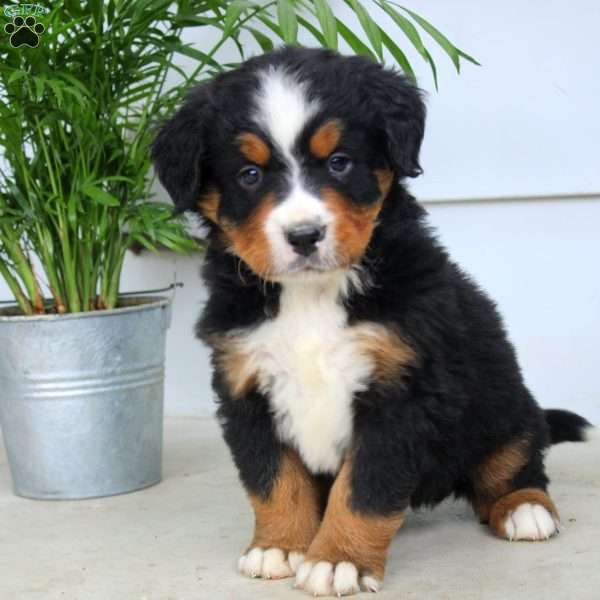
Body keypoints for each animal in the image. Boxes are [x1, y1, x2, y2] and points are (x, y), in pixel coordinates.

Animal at [151, 47, 592, 596]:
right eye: (249, 175)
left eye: (340, 163)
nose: (304, 235)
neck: (312, 295)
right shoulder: (247, 385)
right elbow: (274, 480)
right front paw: (280, 546)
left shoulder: (400, 391)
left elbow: (364, 489)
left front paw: (337, 559)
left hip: (501, 401)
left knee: (514, 460)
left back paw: (524, 509)